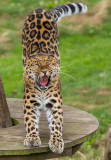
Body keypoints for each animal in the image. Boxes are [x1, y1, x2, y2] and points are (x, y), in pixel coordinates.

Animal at [22, 2, 87, 154]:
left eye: (49, 64)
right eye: (37, 65)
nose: (45, 71)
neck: (42, 89)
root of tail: (42, 9)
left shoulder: (55, 104)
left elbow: (57, 123)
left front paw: (57, 142)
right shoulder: (30, 103)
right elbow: (30, 121)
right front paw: (32, 138)